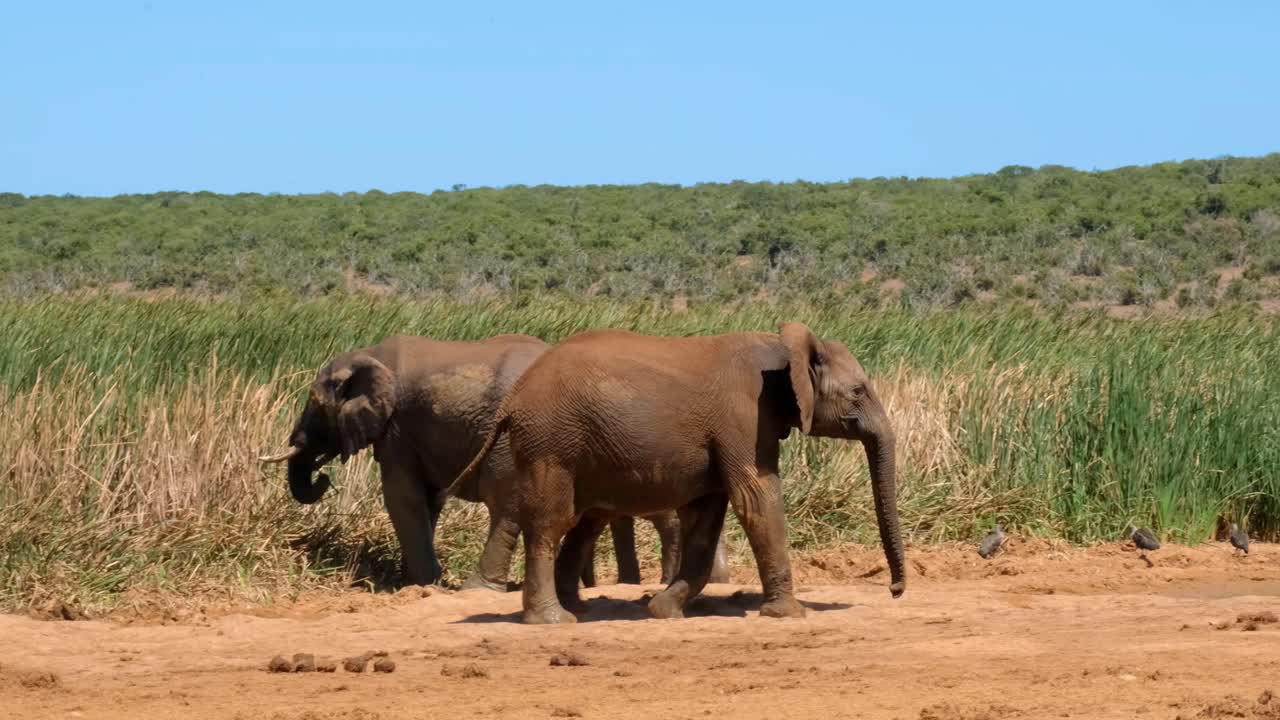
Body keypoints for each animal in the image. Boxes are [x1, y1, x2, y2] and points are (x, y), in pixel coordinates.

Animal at [258, 334, 728, 589]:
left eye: (315, 404)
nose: (321, 476)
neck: (368, 353)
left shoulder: (397, 428)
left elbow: (401, 496)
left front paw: (422, 584)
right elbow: (428, 500)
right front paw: (413, 581)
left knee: (505, 505)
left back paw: (479, 589)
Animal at [447, 322, 904, 624]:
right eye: (858, 392)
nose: (895, 590)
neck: (779, 347)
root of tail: (513, 399)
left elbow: (706, 516)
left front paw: (664, 610)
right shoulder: (743, 416)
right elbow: (756, 497)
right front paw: (790, 614)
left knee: (583, 522)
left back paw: (579, 607)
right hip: (552, 444)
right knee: (550, 523)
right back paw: (555, 620)